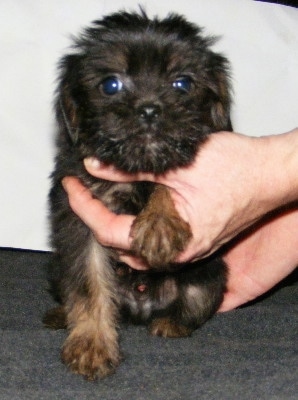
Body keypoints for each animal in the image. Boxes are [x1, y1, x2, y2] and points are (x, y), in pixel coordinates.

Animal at [46, 8, 232, 378]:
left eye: (183, 84)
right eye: (111, 85)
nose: (149, 109)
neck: (133, 168)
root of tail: (140, 304)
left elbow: (168, 178)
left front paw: (160, 223)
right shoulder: (77, 213)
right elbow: (87, 283)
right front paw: (91, 344)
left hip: (209, 279)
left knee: (193, 304)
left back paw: (171, 323)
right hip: (56, 269)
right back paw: (62, 316)